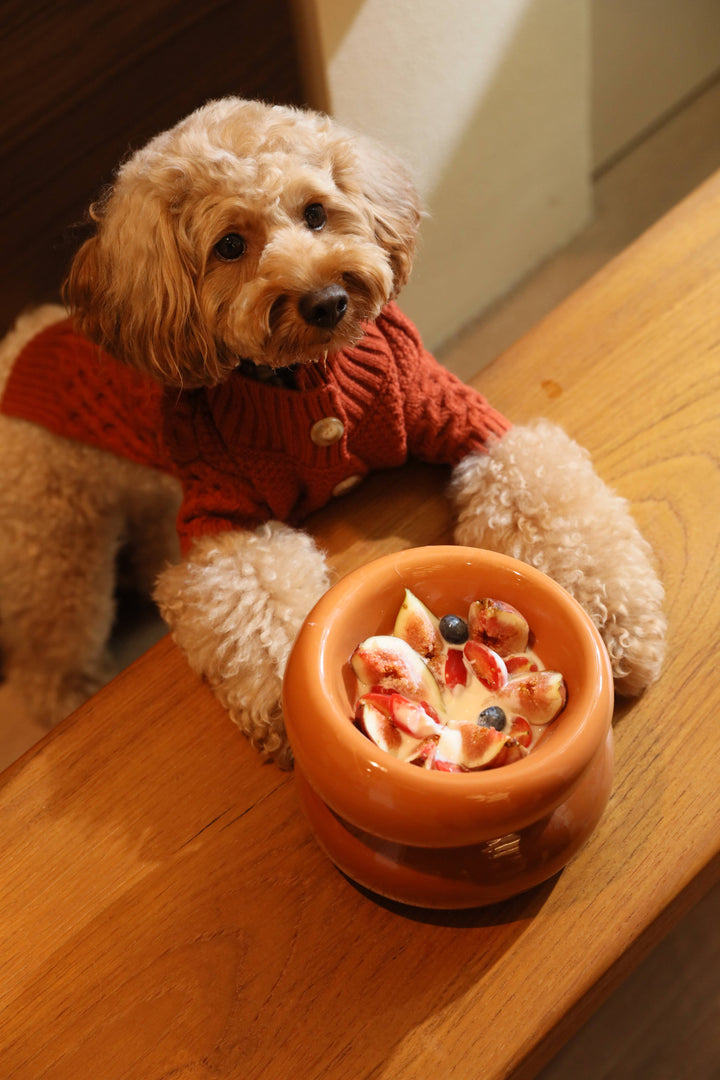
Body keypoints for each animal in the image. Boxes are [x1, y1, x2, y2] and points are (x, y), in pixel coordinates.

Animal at [0, 97, 664, 764]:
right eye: (230, 245)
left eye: (315, 213)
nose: (326, 301)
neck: (303, 379)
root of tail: (16, 346)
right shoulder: (221, 519)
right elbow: (257, 598)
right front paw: (294, 707)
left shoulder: (460, 417)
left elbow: (544, 499)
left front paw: (612, 622)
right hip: (54, 544)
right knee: (47, 652)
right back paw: (66, 695)